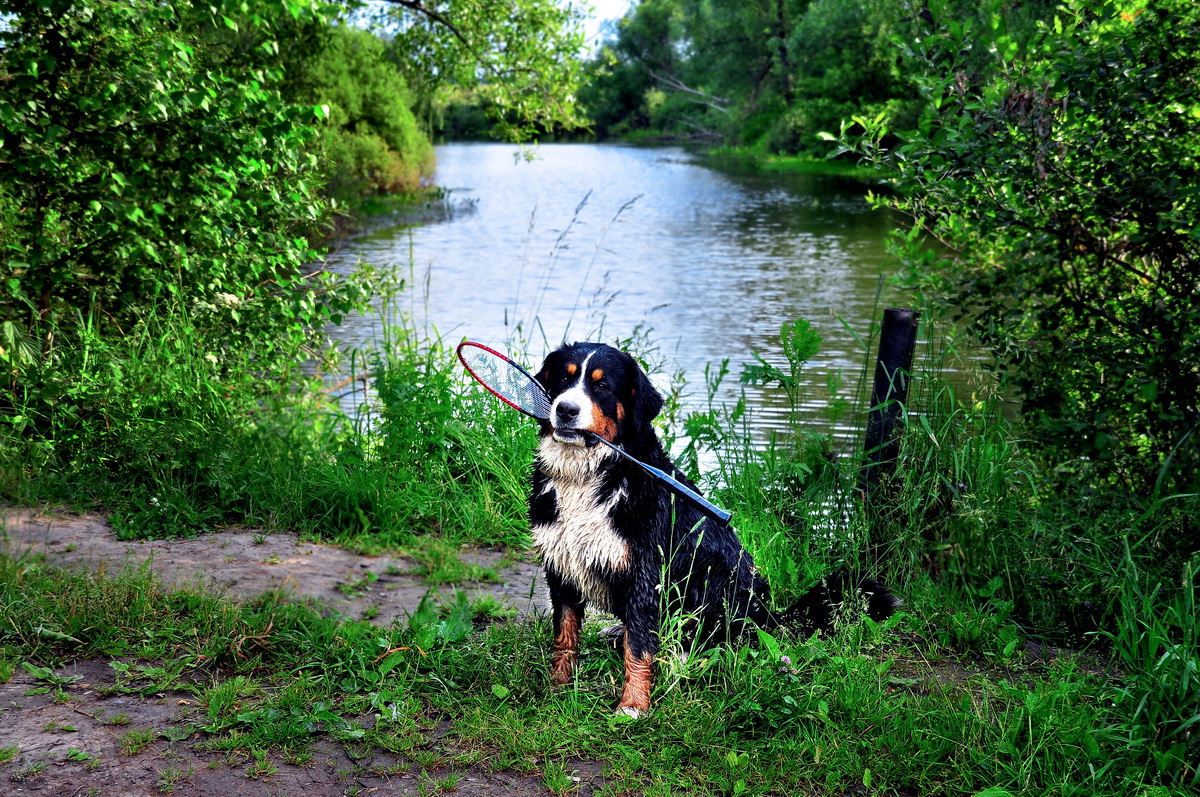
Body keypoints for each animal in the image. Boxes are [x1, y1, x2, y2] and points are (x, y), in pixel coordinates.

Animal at [530, 340, 897, 715]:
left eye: (602, 386)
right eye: (563, 378)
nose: (565, 409)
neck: (588, 477)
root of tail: (768, 615)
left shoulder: (645, 573)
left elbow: (640, 647)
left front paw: (632, 705)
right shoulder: (561, 566)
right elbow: (565, 635)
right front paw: (558, 687)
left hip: (715, 573)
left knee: (722, 640)